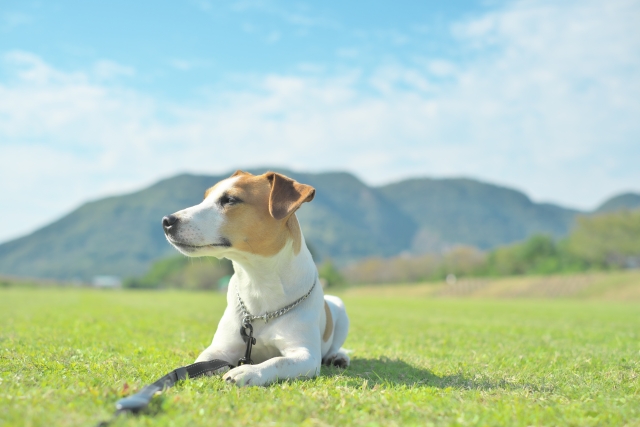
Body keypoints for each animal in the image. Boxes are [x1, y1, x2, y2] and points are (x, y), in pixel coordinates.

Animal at [161, 171, 350, 388]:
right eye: (205, 198)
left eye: (230, 200)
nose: (166, 221)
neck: (258, 283)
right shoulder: (220, 349)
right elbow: (203, 361)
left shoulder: (306, 355)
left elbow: (278, 361)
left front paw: (249, 371)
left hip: (340, 308)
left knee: (334, 345)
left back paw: (338, 356)